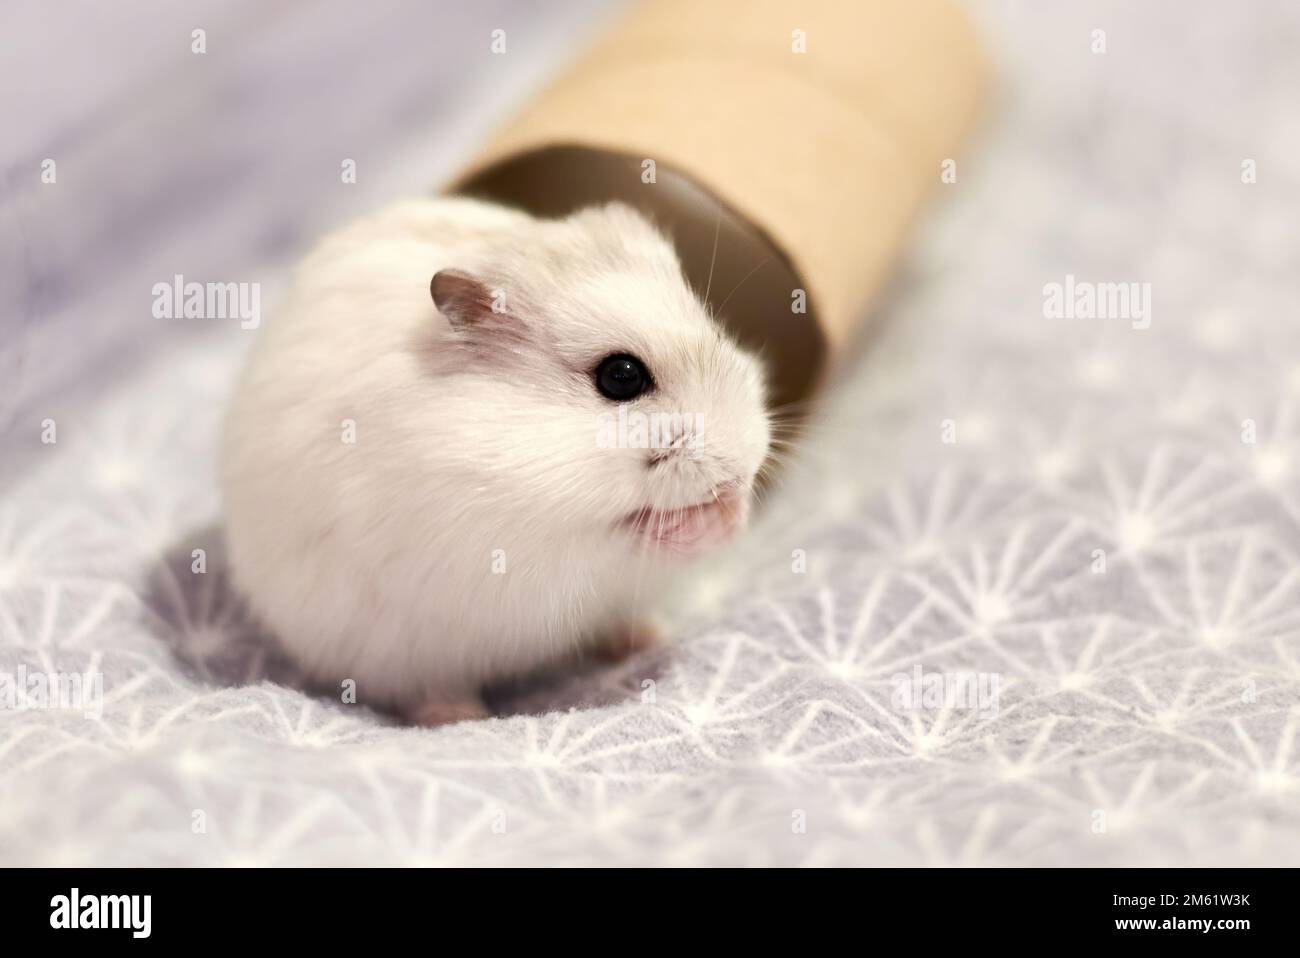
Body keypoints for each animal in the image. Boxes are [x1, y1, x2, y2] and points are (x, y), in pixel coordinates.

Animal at [222, 200, 769, 722]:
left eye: (717, 333)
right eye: (621, 376)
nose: (738, 471)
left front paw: (731, 510)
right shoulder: (518, 549)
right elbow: (623, 536)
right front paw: (691, 519)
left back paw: (648, 636)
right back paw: (459, 716)